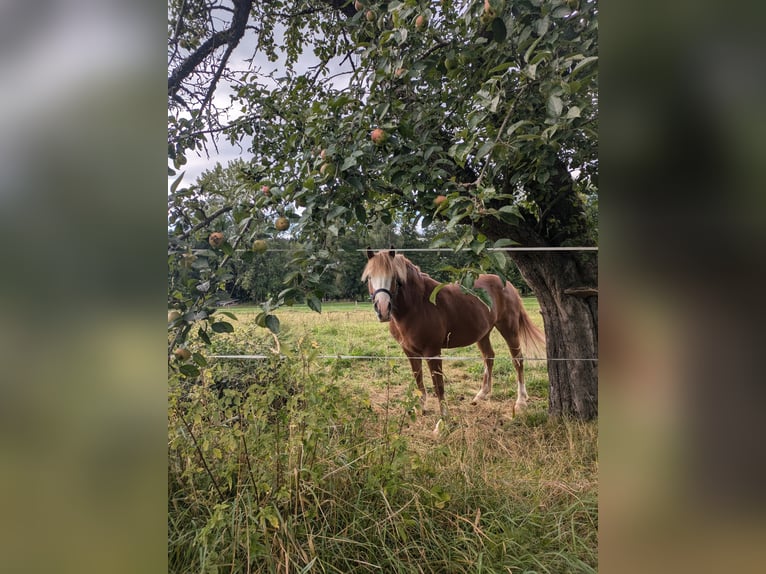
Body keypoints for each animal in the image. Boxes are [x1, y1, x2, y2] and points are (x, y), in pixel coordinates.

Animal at [362, 248, 544, 418]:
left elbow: (438, 385)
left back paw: (521, 401)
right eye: (370, 277)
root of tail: (508, 285)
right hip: (483, 333)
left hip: (509, 329)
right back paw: (481, 395)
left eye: (394, 277)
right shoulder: (410, 352)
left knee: (517, 360)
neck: (418, 304)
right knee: (489, 356)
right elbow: (418, 379)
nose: (383, 309)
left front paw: (444, 416)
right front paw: (421, 407)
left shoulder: (432, 352)